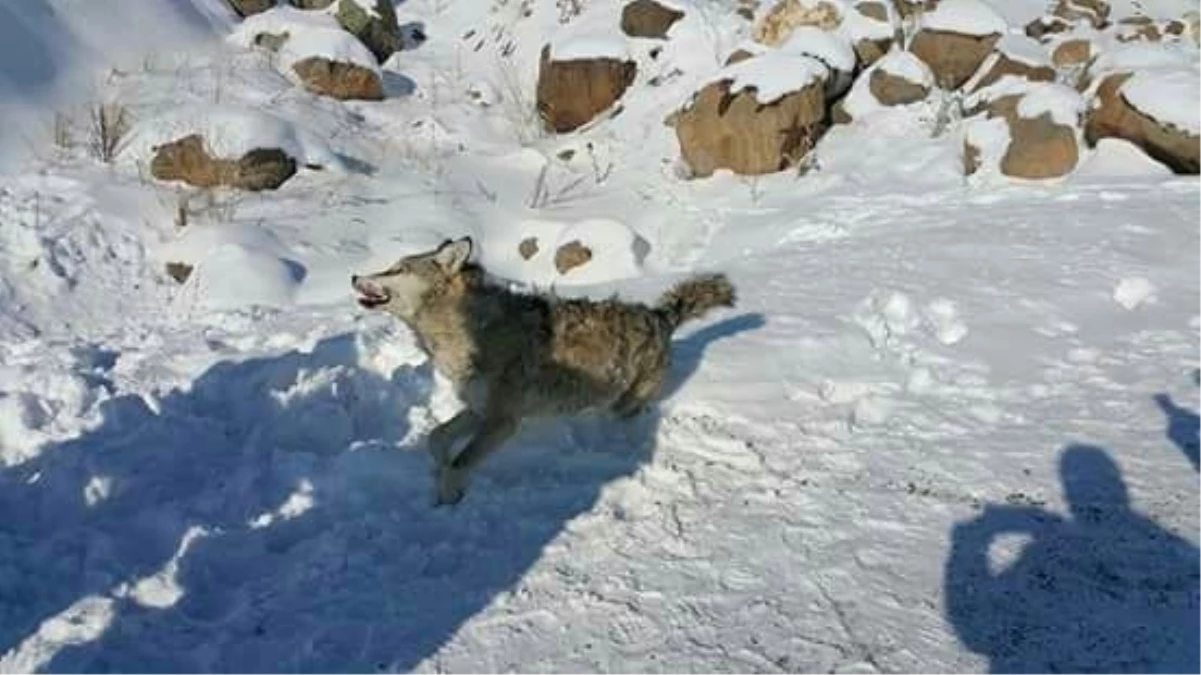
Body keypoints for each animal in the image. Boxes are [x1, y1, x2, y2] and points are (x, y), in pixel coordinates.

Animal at [350, 237, 735, 504]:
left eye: (397, 270)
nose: (354, 276)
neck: (470, 328)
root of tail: (660, 315)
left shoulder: (502, 421)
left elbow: (459, 464)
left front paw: (448, 502)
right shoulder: (479, 409)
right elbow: (436, 438)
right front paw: (439, 470)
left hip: (624, 406)